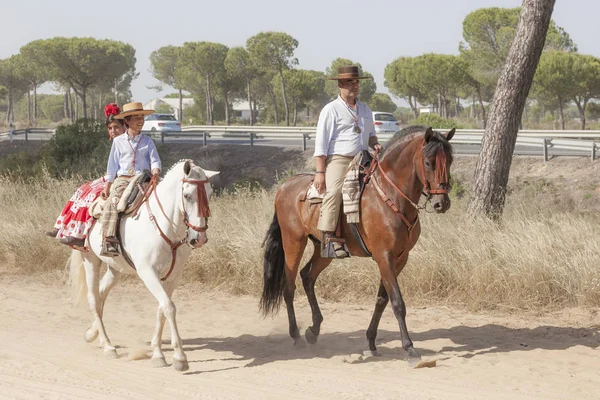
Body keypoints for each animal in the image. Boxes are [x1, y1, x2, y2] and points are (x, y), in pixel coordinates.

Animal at [68, 158, 218, 370]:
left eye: (210, 194)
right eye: (187, 195)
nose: (200, 237)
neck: (165, 227)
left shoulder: (173, 276)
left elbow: (162, 308)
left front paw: (157, 353)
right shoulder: (148, 272)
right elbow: (169, 307)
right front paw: (179, 358)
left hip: (116, 267)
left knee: (102, 293)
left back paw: (91, 333)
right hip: (90, 260)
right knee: (94, 300)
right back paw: (107, 346)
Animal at [258, 126, 454, 366]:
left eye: (450, 160)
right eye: (428, 162)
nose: (442, 203)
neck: (390, 197)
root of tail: (285, 186)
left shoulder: (400, 258)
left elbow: (382, 299)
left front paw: (370, 342)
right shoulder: (384, 256)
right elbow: (397, 302)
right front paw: (410, 349)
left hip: (323, 249)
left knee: (307, 276)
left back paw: (313, 330)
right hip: (293, 241)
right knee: (289, 286)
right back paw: (296, 335)